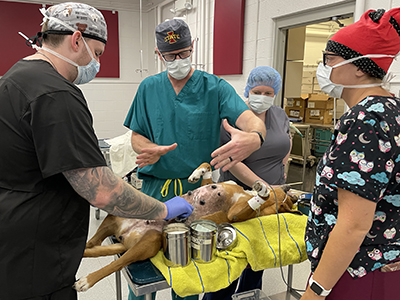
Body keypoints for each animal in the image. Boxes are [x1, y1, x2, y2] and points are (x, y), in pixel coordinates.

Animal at [73, 163, 298, 292]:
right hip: (115, 217)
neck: (246, 192)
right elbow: (207, 168)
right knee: (92, 244)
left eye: (285, 202)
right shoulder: (217, 187)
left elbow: (254, 202)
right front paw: (196, 173)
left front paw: (263, 191)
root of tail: (125, 237)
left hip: (149, 242)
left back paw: (86, 280)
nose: (290, 188)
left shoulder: (235, 214)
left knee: (116, 263)